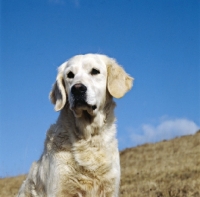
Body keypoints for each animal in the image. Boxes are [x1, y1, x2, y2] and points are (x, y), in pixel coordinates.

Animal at [18, 53, 134, 197]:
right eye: (70, 75)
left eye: (95, 71)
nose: (77, 89)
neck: (88, 138)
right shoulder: (59, 188)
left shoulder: (110, 188)